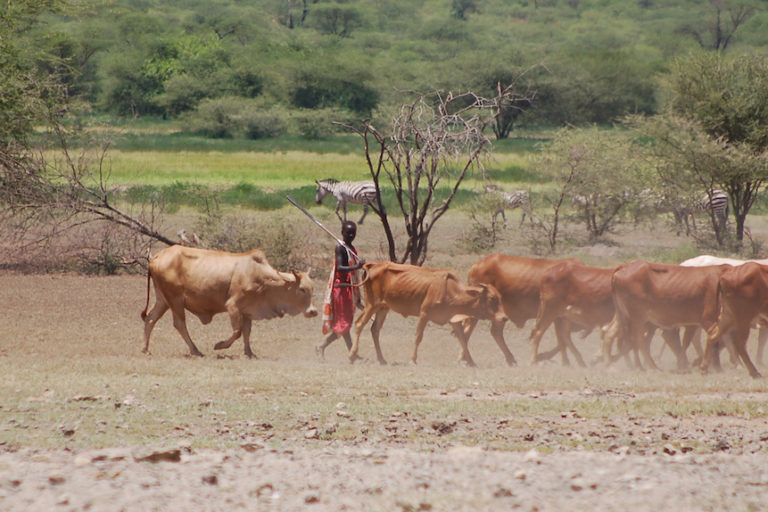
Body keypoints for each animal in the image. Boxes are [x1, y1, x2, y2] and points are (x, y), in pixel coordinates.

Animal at [140, 246, 316, 358]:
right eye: (302, 289)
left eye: (312, 288)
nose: (313, 311)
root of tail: (156, 258)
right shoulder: (233, 306)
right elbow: (237, 332)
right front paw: (219, 345)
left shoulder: (247, 311)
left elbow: (246, 332)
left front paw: (249, 353)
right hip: (175, 300)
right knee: (179, 324)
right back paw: (195, 350)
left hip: (163, 300)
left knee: (150, 319)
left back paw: (146, 349)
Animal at [352, 262, 512, 366]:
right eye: (491, 298)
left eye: (500, 297)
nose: (504, 317)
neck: (450, 291)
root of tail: (373, 265)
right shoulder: (424, 314)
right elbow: (418, 337)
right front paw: (413, 359)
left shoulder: (453, 320)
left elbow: (463, 340)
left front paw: (471, 361)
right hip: (371, 305)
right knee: (359, 324)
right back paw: (352, 355)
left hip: (383, 308)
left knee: (375, 330)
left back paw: (381, 359)